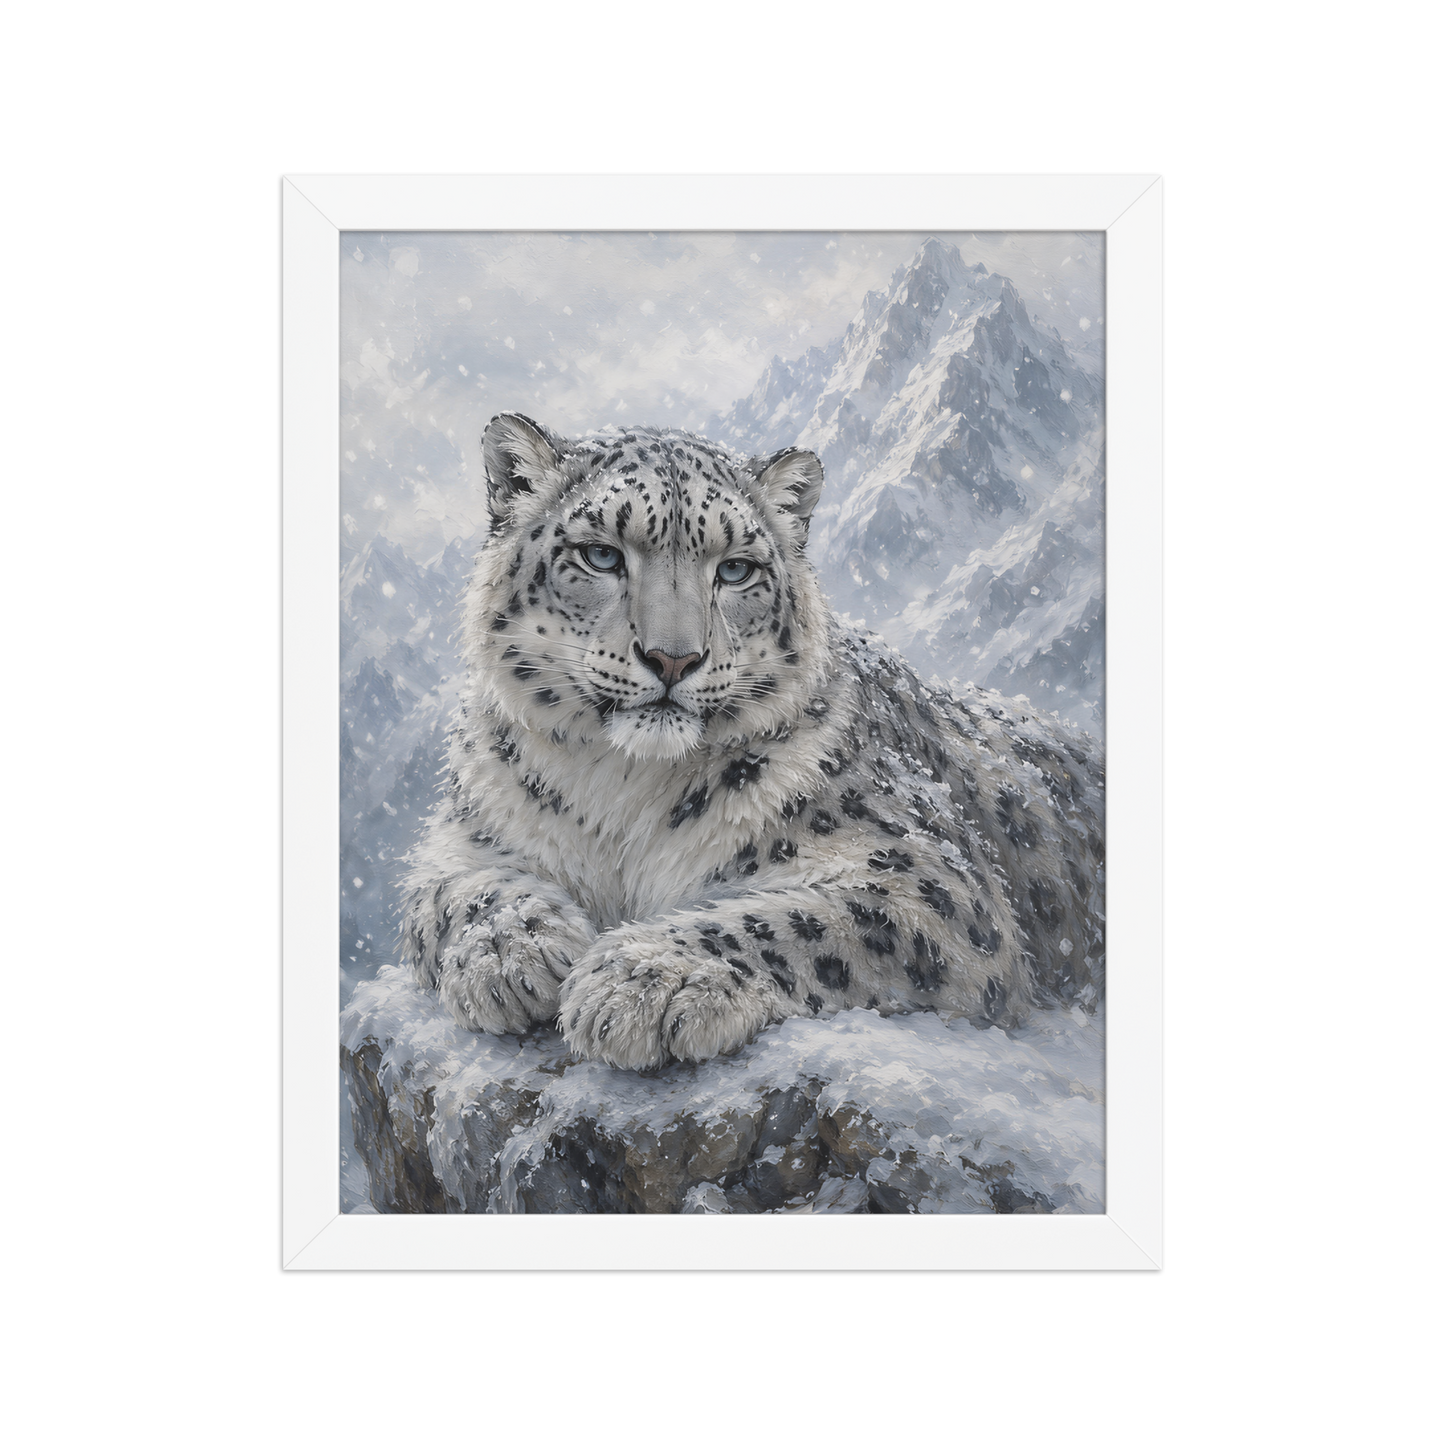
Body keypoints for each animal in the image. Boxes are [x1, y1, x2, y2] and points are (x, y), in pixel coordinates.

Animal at [398, 411, 1104, 1071]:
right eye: (600, 554)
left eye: (736, 569)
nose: (674, 658)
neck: (619, 790)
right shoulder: (466, 835)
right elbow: (455, 891)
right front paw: (511, 953)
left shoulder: (929, 881)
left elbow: (794, 919)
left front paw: (643, 980)